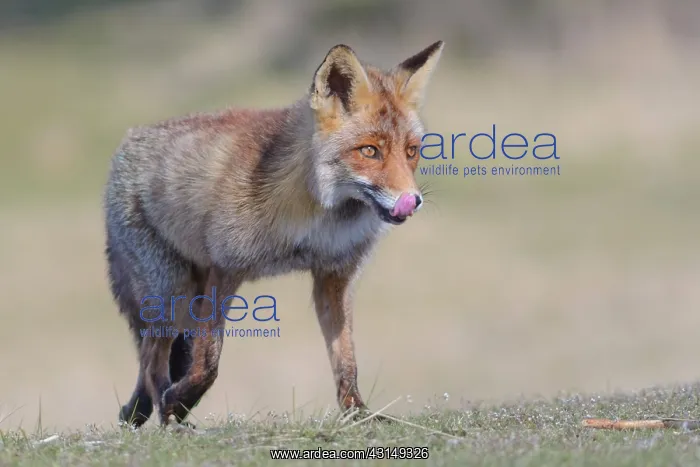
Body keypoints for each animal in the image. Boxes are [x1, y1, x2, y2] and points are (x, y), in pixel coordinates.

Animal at [104, 40, 444, 427]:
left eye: (412, 151)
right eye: (370, 151)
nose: (412, 200)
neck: (318, 220)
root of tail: (128, 140)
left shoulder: (333, 276)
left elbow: (346, 360)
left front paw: (357, 413)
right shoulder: (226, 267)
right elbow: (208, 362)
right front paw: (177, 401)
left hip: (186, 296)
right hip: (171, 293)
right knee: (151, 361)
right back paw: (167, 414)